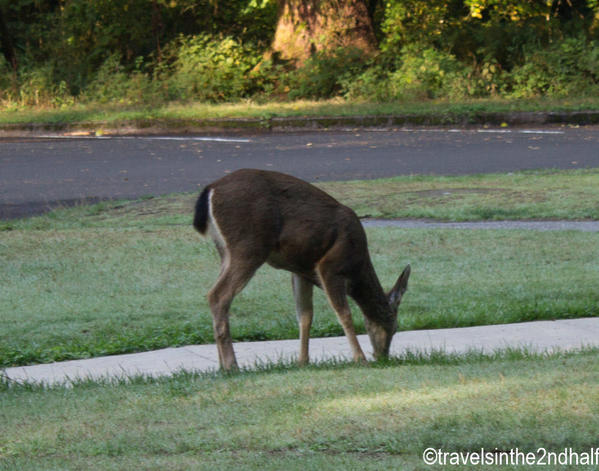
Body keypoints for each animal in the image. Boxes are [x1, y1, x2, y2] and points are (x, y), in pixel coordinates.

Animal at [195, 170, 410, 372]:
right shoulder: (329, 265)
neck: (357, 268)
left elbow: (305, 315)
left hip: (225, 251)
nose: (383, 356)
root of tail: (210, 190)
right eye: (395, 327)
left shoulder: (301, 270)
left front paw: (303, 361)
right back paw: (232, 365)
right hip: (248, 246)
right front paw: (360, 359)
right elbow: (344, 313)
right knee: (218, 295)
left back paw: (222, 366)